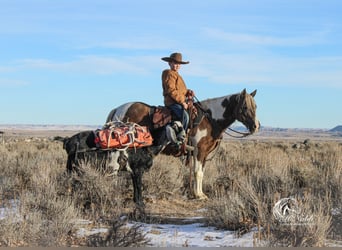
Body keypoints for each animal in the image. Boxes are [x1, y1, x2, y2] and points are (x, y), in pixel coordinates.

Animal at [106, 89, 260, 198]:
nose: (256, 126)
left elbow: (202, 172)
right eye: (245, 107)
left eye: (256, 106)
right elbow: (198, 172)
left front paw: (200, 193)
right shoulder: (199, 151)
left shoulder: (204, 154)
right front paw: (198, 195)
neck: (210, 119)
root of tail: (118, 109)